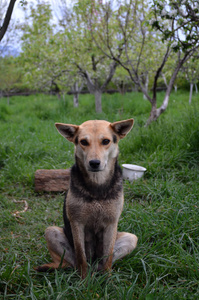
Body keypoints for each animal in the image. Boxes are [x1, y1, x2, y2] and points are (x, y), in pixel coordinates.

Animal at [35, 118, 138, 278]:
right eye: (83, 142)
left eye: (106, 141)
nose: (94, 163)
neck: (97, 186)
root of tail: (94, 265)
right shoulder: (77, 223)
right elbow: (81, 255)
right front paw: (84, 281)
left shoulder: (112, 223)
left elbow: (108, 256)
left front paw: (108, 279)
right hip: (51, 232)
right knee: (70, 263)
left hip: (131, 238)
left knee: (103, 261)